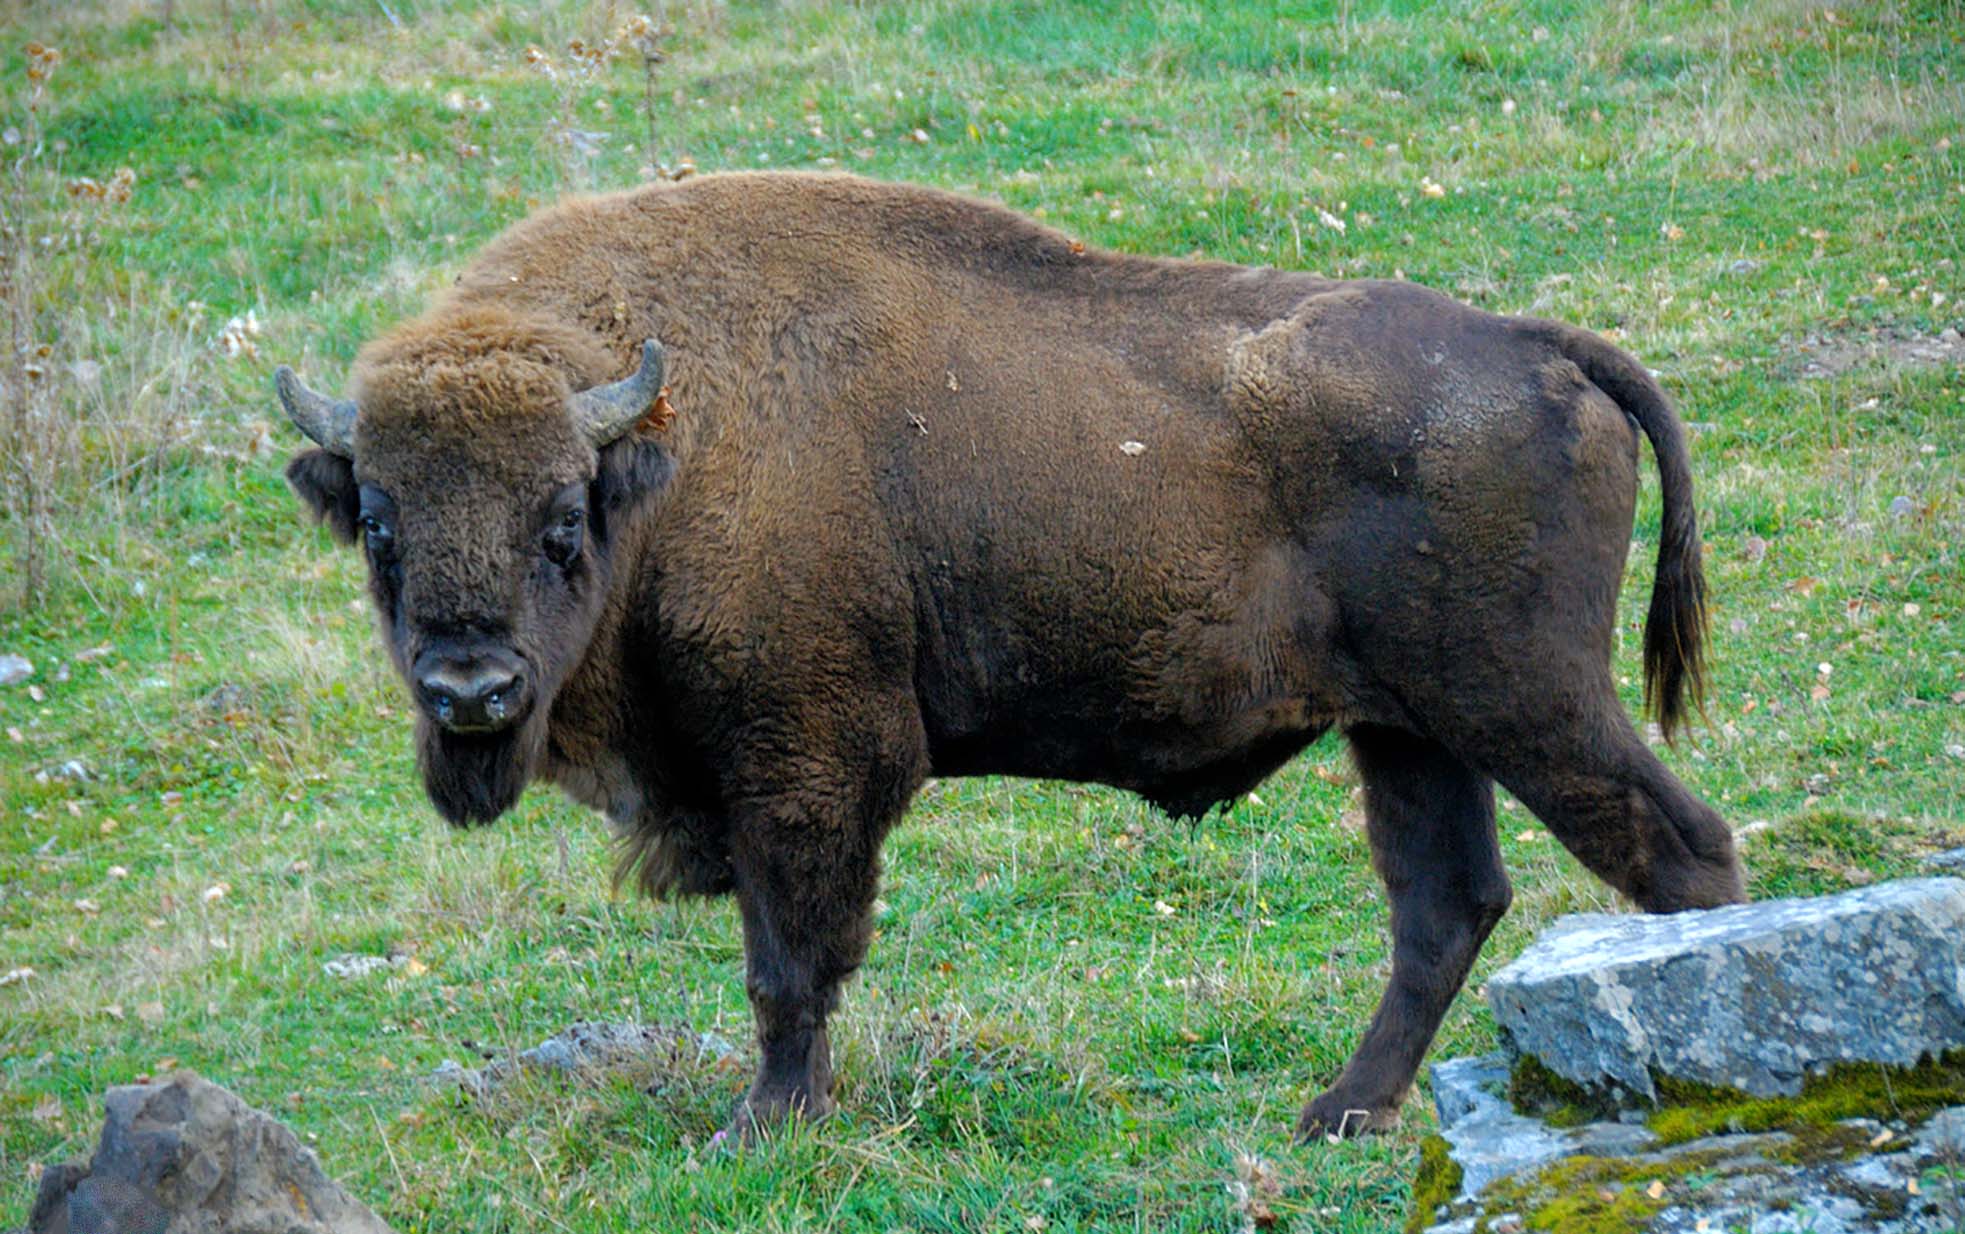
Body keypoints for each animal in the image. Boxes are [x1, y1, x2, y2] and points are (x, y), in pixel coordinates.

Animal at [280, 170, 1752, 1139]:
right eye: (380, 523)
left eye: (560, 522)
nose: (472, 690)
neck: (668, 445)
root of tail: (1536, 346)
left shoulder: (804, 762)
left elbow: (788, 963)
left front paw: (766, 1126)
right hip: (1408, 732)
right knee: (1444, 904)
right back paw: (1335, 1110)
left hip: (1525, 703)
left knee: (1676, 849)